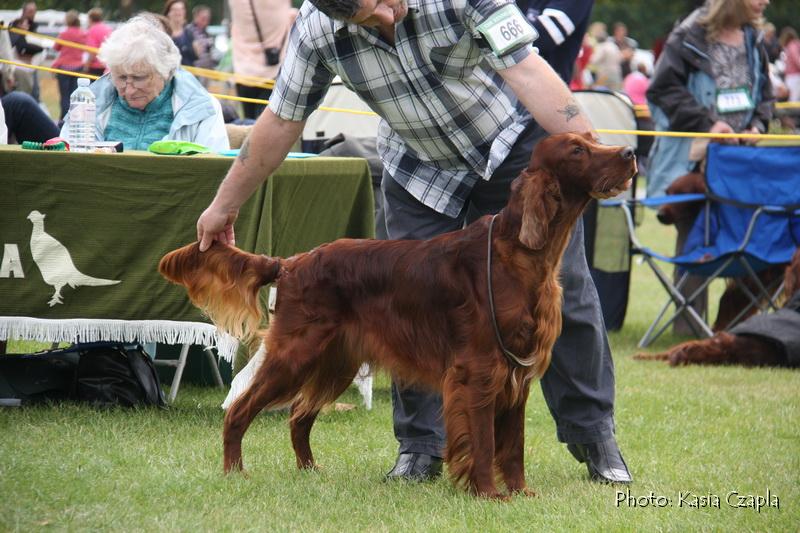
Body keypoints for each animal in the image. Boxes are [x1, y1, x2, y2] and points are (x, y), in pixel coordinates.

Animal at [159, 131, 636, 496]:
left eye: (593, 138)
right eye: (578, 150)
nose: (630, 152)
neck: (517, 255)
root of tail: (292, 262)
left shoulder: (515, 374)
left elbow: (513, 447)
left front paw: (520, 493)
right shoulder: (479, 370)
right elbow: (483, 442)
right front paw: (488, 494)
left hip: (335, 361)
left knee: (298, 418)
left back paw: (310, 472)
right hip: (296, 354)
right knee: (240, 410)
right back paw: (234, 473)